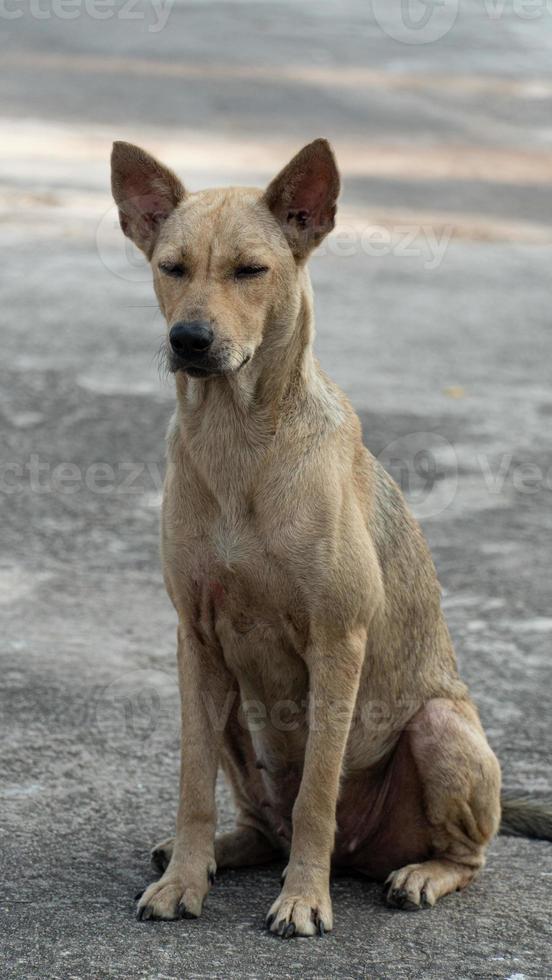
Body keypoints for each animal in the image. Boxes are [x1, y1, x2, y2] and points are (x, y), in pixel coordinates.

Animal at [110, 136, 548, 936]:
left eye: (251, 271)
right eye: (172, 267)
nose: (189, 339)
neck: (240, 444)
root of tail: (361, 857)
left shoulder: (337, 642)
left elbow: (318, 791)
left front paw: (302, 899)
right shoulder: (196, 642)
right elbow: (190, 784)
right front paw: (184, 879)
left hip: (441, 726)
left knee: (464, 855)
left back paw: (416, 874)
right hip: (232, 713)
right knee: (260, 821)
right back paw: (220, 852)